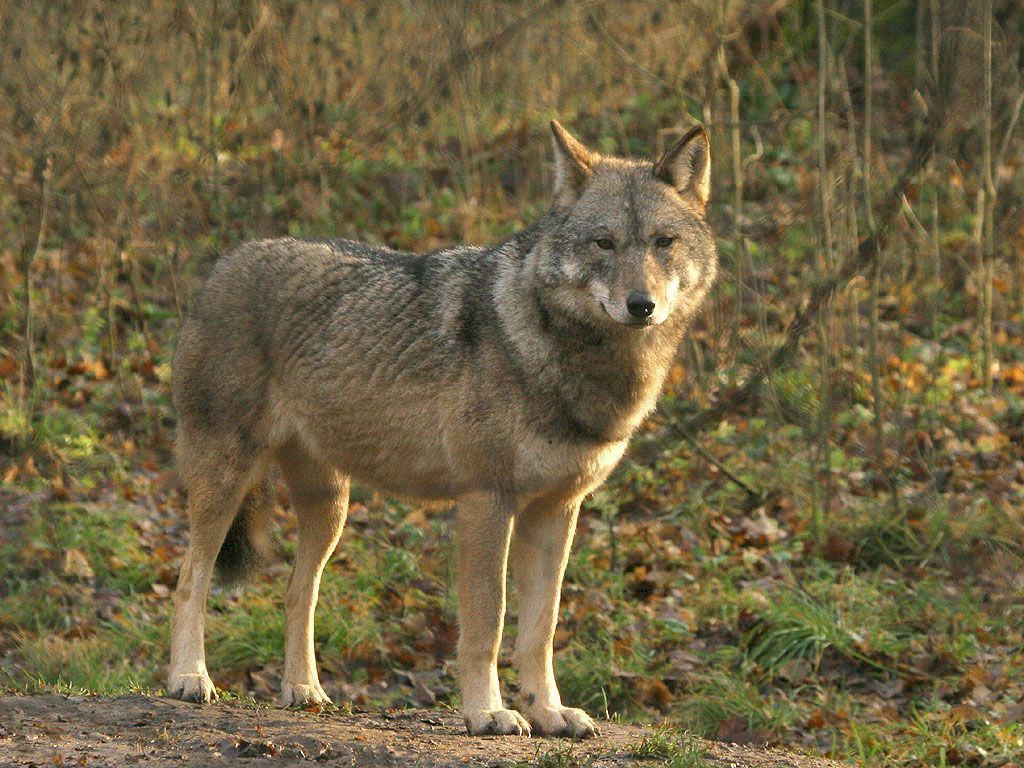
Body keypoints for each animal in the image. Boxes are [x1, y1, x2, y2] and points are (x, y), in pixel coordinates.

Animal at [167, 120, 716, 741]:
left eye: (663, 242)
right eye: (604, 243)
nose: (640, 305)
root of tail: (224, 263)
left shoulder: (556, 511)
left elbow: (542, 628)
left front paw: (548, 712)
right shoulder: (486, 502)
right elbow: (488, 623)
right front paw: (487, 712)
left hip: (329, 508)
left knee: (296, 593)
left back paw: (304, 690)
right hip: (226, 483)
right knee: (189, 578)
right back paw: (189, 679)